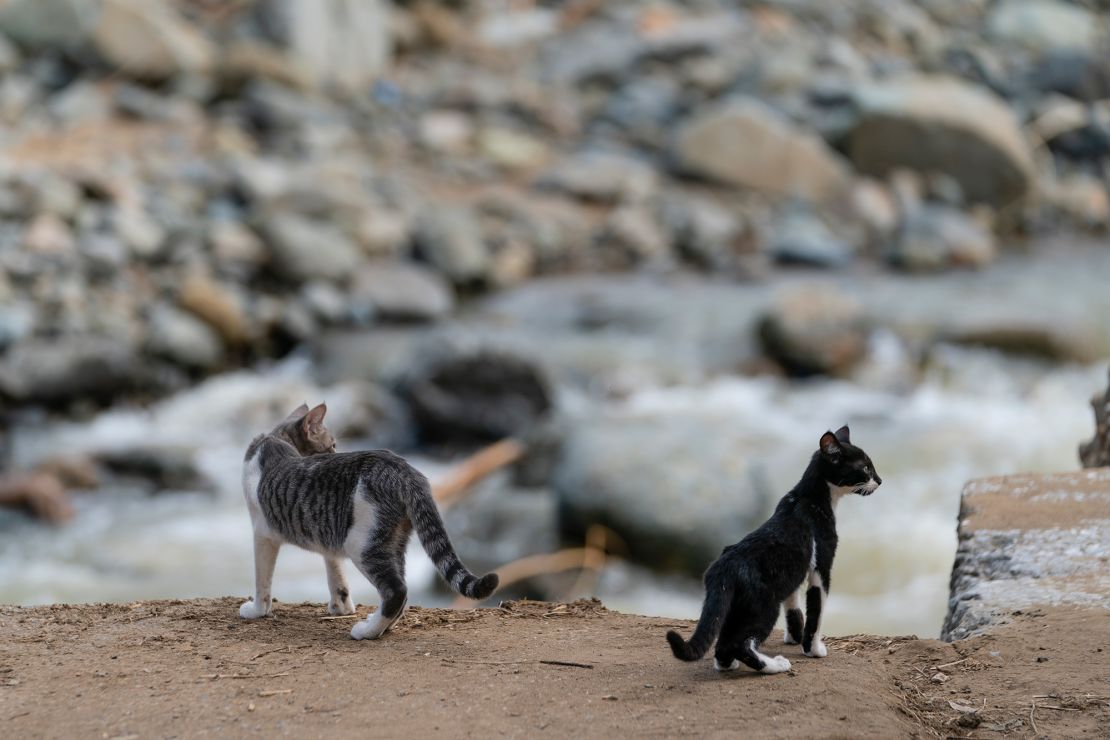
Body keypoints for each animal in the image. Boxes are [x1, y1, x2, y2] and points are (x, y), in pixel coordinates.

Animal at [239, 401, 499, 639]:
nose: (336, 453)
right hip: (390, 541)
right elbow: (337, 576)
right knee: (400, 590)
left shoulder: (262, 534)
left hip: (362, 544)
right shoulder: (327, 532)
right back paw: (382, 626)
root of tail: (404, 470)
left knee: (396, 590)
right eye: (332, 445)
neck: (276, 438)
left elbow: (262, 580)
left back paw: (368, 632)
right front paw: (341, 608)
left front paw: (256, 610)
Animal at [661, 428, 879, 678]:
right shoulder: (821, 566)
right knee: (738, 643)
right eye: (865, 467)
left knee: (724, 641)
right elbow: (816, 611)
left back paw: (728, 664)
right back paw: (775, 665)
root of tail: (722, 569)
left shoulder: (792, 573)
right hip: (763, 606)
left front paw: (795, 637)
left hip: (737, 606)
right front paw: (813, 649)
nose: (879, 480)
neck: (808, 498)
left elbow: (793, 605)